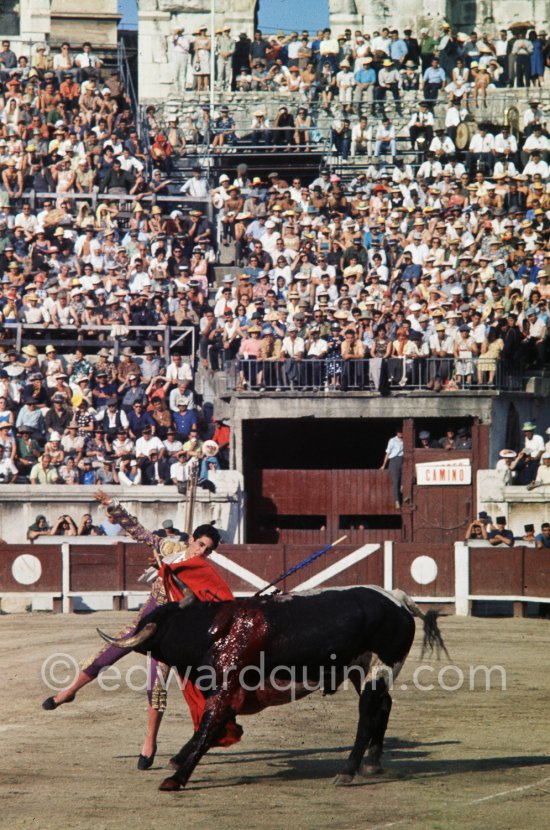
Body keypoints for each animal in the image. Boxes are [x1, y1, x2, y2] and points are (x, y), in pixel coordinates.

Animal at [100, 588, 448, 788]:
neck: (213, 630)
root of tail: (398, 600)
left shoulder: (225, 691)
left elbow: (208, 728)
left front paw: (176, 778)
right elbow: (207, 729)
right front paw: (176, 762)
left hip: (380, 666)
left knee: (368, 713)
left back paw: (348, 771)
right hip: (364, 670)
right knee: (383, 708)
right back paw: (373, 763)